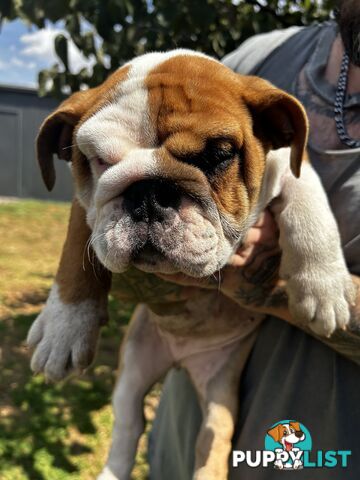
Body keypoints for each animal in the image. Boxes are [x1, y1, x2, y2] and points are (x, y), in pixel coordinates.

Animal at [27, 50, 354, 478]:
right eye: (98, 160)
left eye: (219, 154)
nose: (148, 193)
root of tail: (181, 360)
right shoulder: (89, 205)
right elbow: (74, 251)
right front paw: (64, 328)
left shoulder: (290, 164)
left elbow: (310, 207)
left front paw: (324, 287)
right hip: (134, 363)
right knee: (129, 422)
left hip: (220, 390)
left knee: (211, 441)